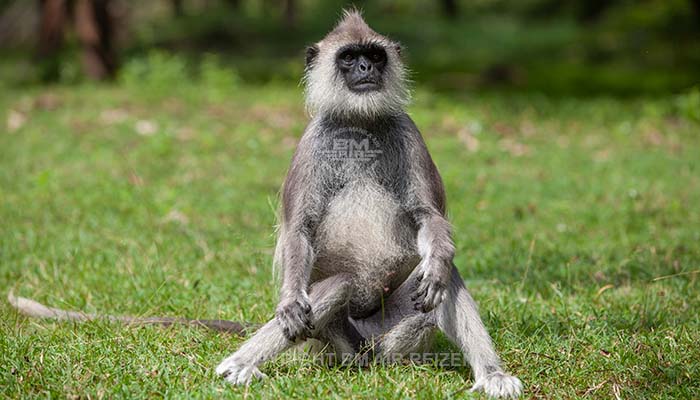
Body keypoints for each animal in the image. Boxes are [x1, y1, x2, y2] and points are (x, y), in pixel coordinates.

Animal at [216, 10, 524, 398]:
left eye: (375, 56)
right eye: (349, 57)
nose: (365, 67)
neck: (359, 122)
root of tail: (369, 353)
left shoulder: (408, 132)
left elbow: (428, 217)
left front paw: (438, 263)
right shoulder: (313, 140)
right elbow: (299, 227)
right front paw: (288, 301)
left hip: (394, 334)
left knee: (442, 280)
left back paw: (491, 373)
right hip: (334, 343)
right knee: (339, 285)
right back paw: (240, 363)